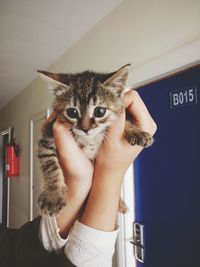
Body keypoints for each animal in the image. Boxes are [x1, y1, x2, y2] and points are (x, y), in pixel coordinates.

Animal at [37, 65, 152, 218]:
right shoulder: (47, 136)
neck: (89, 139)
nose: (85, 129)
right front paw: (53, 196)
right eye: (72, 112)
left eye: (99, 111)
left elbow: (124, 119)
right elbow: (50, 164)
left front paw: (136, 131)